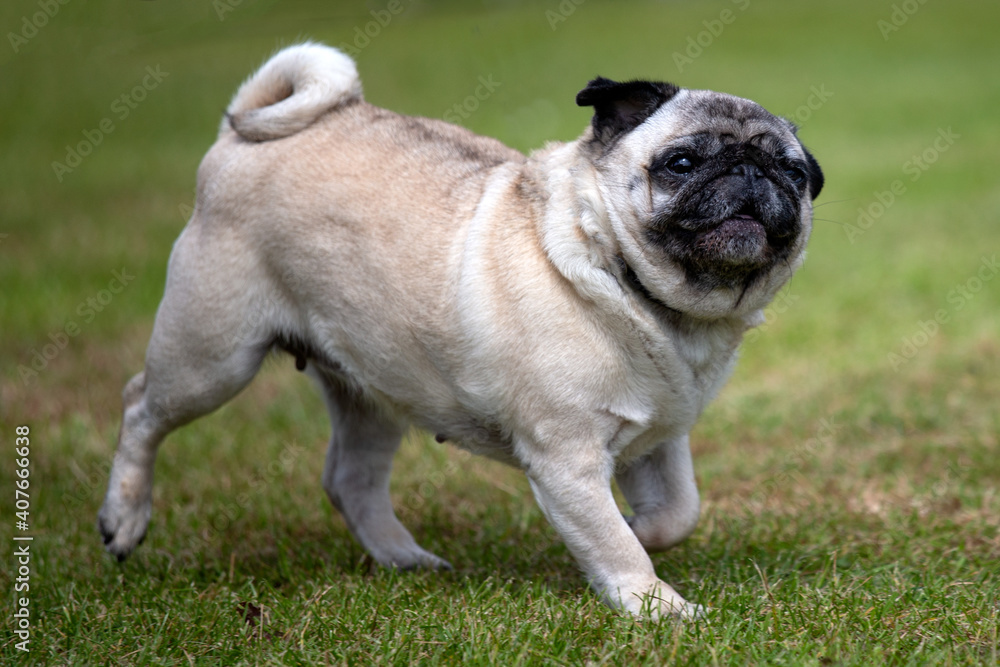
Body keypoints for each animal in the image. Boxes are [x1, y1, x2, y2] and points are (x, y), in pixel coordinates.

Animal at [99, 41, 820, 620]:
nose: (750, 171)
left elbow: (676, 513)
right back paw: (123, 519)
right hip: (212, 354)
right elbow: (614, 542)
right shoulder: (566, 456)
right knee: (140, 407)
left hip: (370, 384)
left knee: (350, 479)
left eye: (792, 172)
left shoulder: (657, 440)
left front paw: (639, 530)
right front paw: (655, 606)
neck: (642, 292)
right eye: (682, 162)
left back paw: (405, 559)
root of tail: (241, 139)